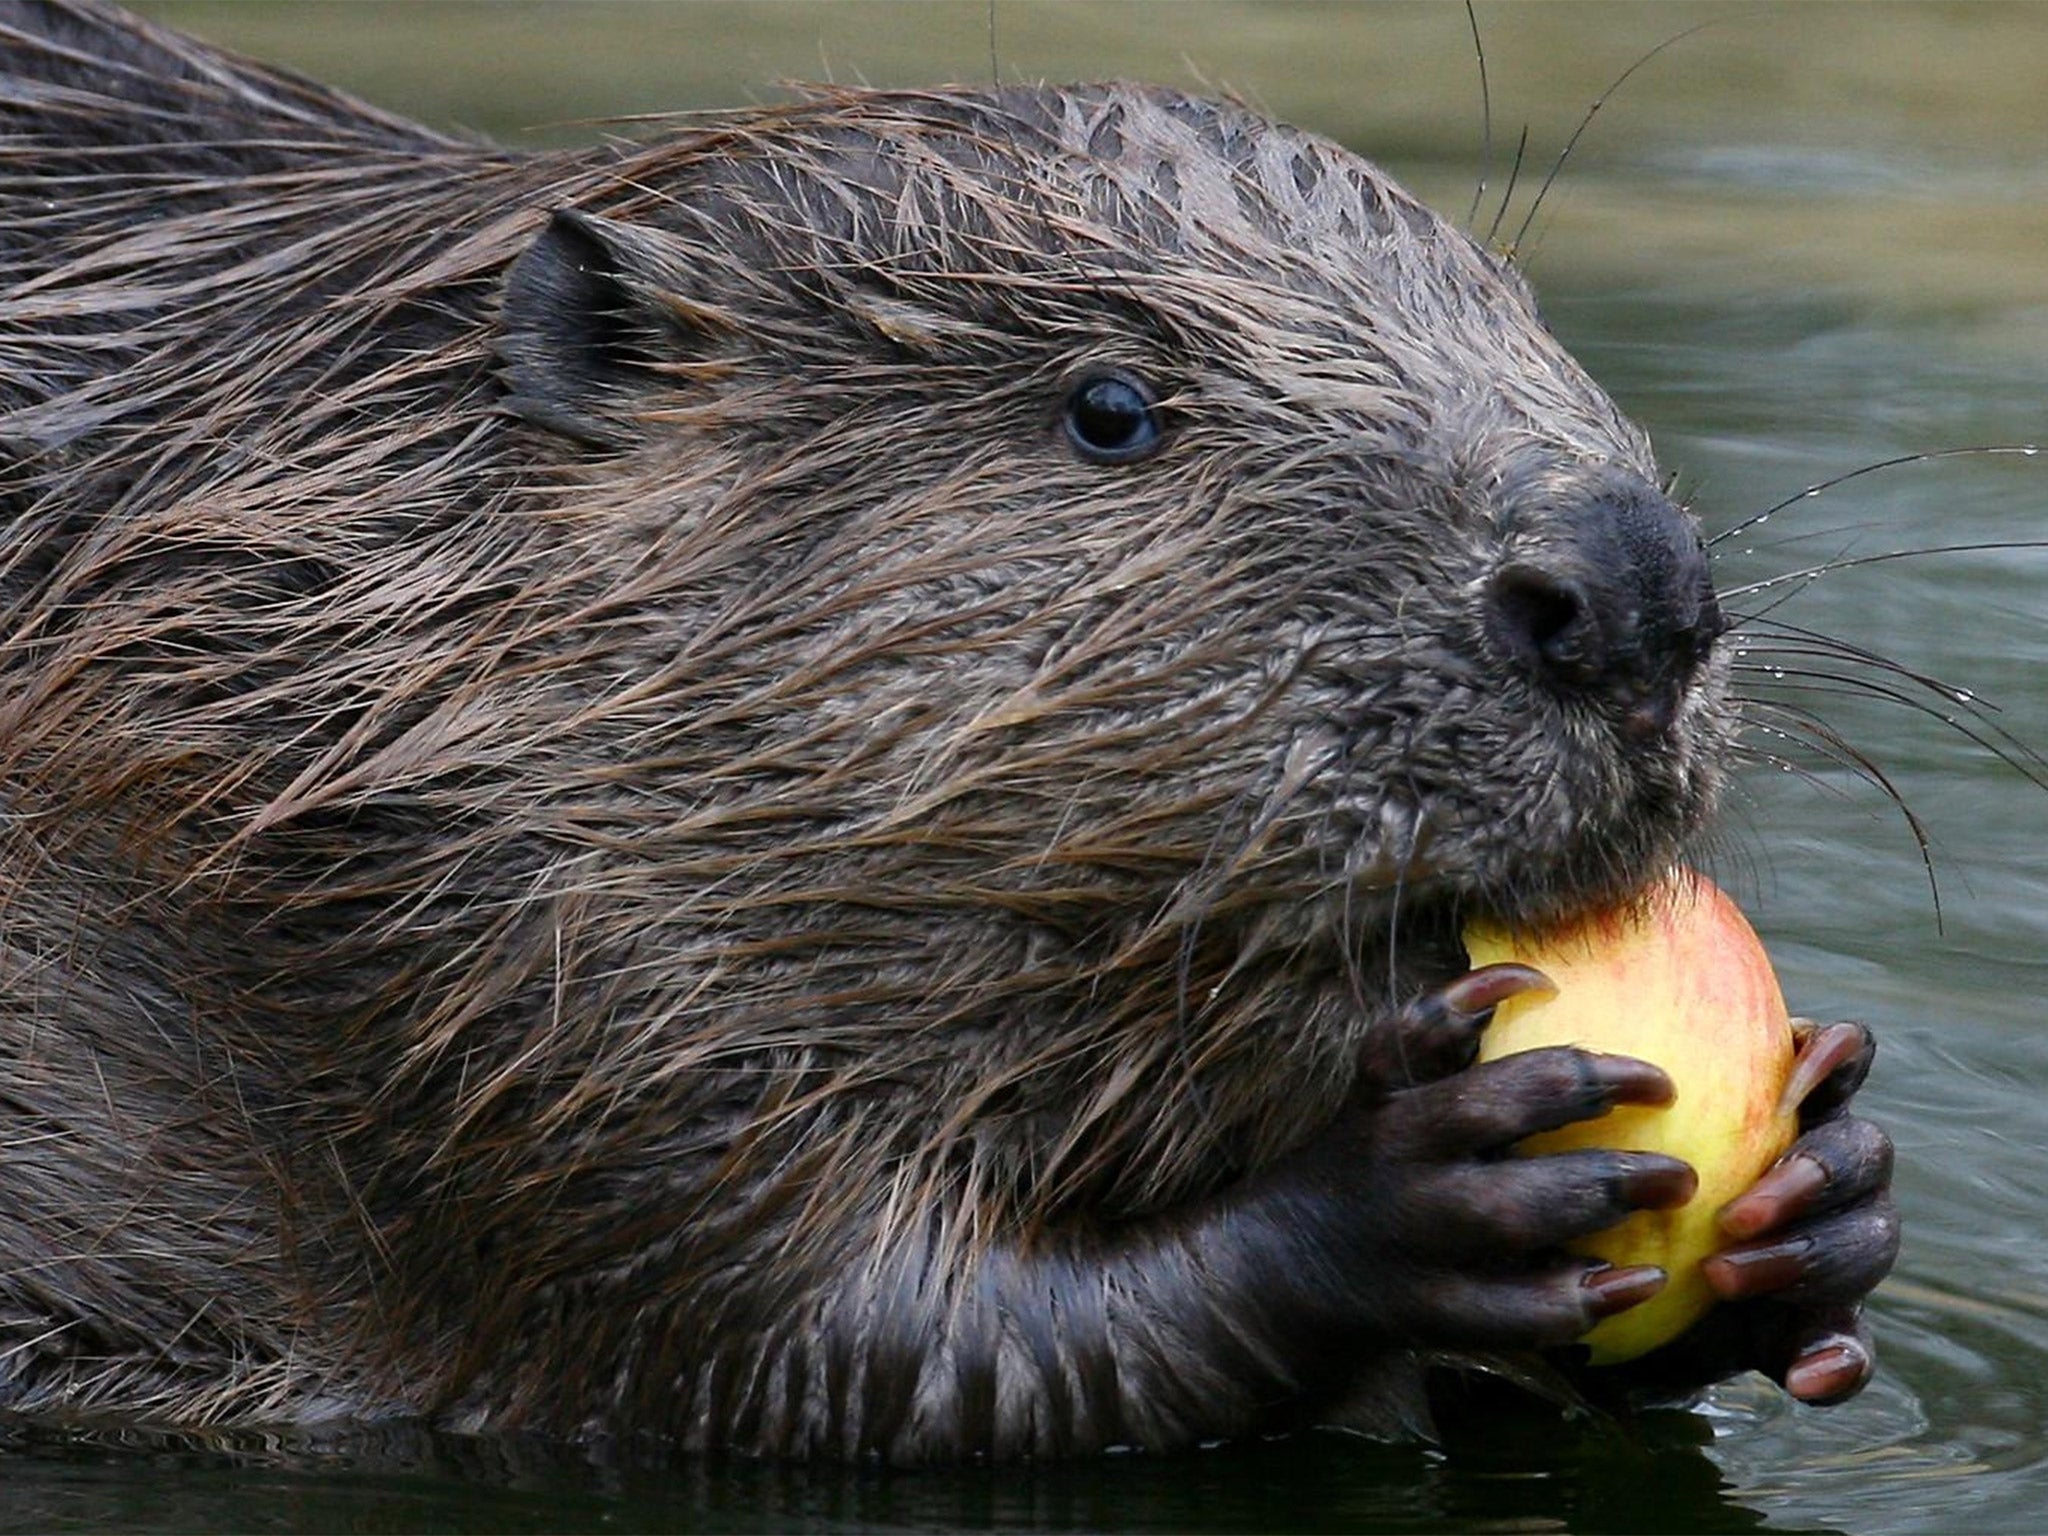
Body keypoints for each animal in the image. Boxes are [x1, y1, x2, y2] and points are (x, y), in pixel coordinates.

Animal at [0, 0, 1900, 1466]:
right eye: (1110, 408)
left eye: (1515, 316)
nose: (1630, 588)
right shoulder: (441, 949)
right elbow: (855, 1349)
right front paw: (1417, 1187)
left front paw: (1826, 1179)